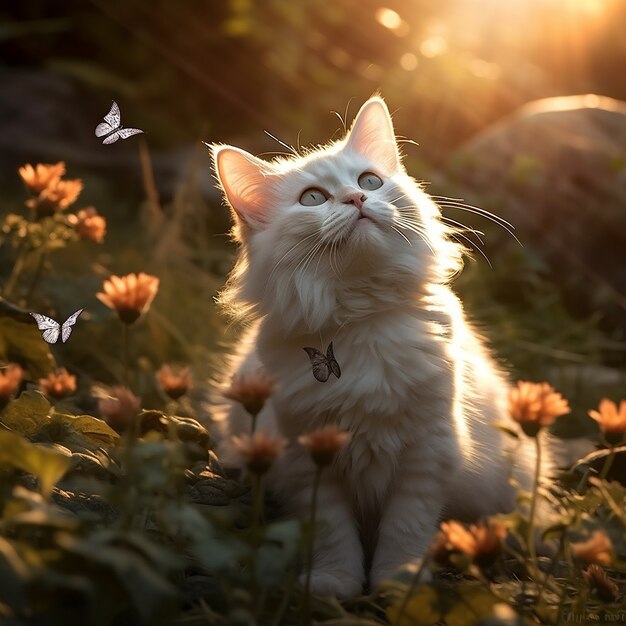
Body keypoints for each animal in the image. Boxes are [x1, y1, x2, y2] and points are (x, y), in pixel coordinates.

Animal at [212, 96, 532, 596]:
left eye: (369, 182)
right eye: (312, 198)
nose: (357, 199)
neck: (361, 317)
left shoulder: (427, 452)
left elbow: (405, 531)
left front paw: (397, 585)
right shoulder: (309, 459)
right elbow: (331, 532)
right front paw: (333, 583)